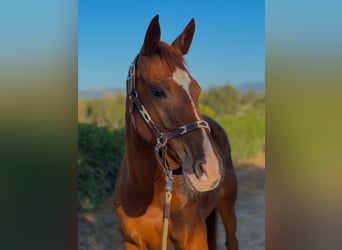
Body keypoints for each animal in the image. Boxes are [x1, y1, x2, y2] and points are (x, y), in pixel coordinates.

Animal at [114, 15, 238, 250]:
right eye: (157, 91)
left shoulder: (194, 240)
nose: (210, 169)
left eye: (197, 89)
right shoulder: (132, 243)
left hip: (228, 206)